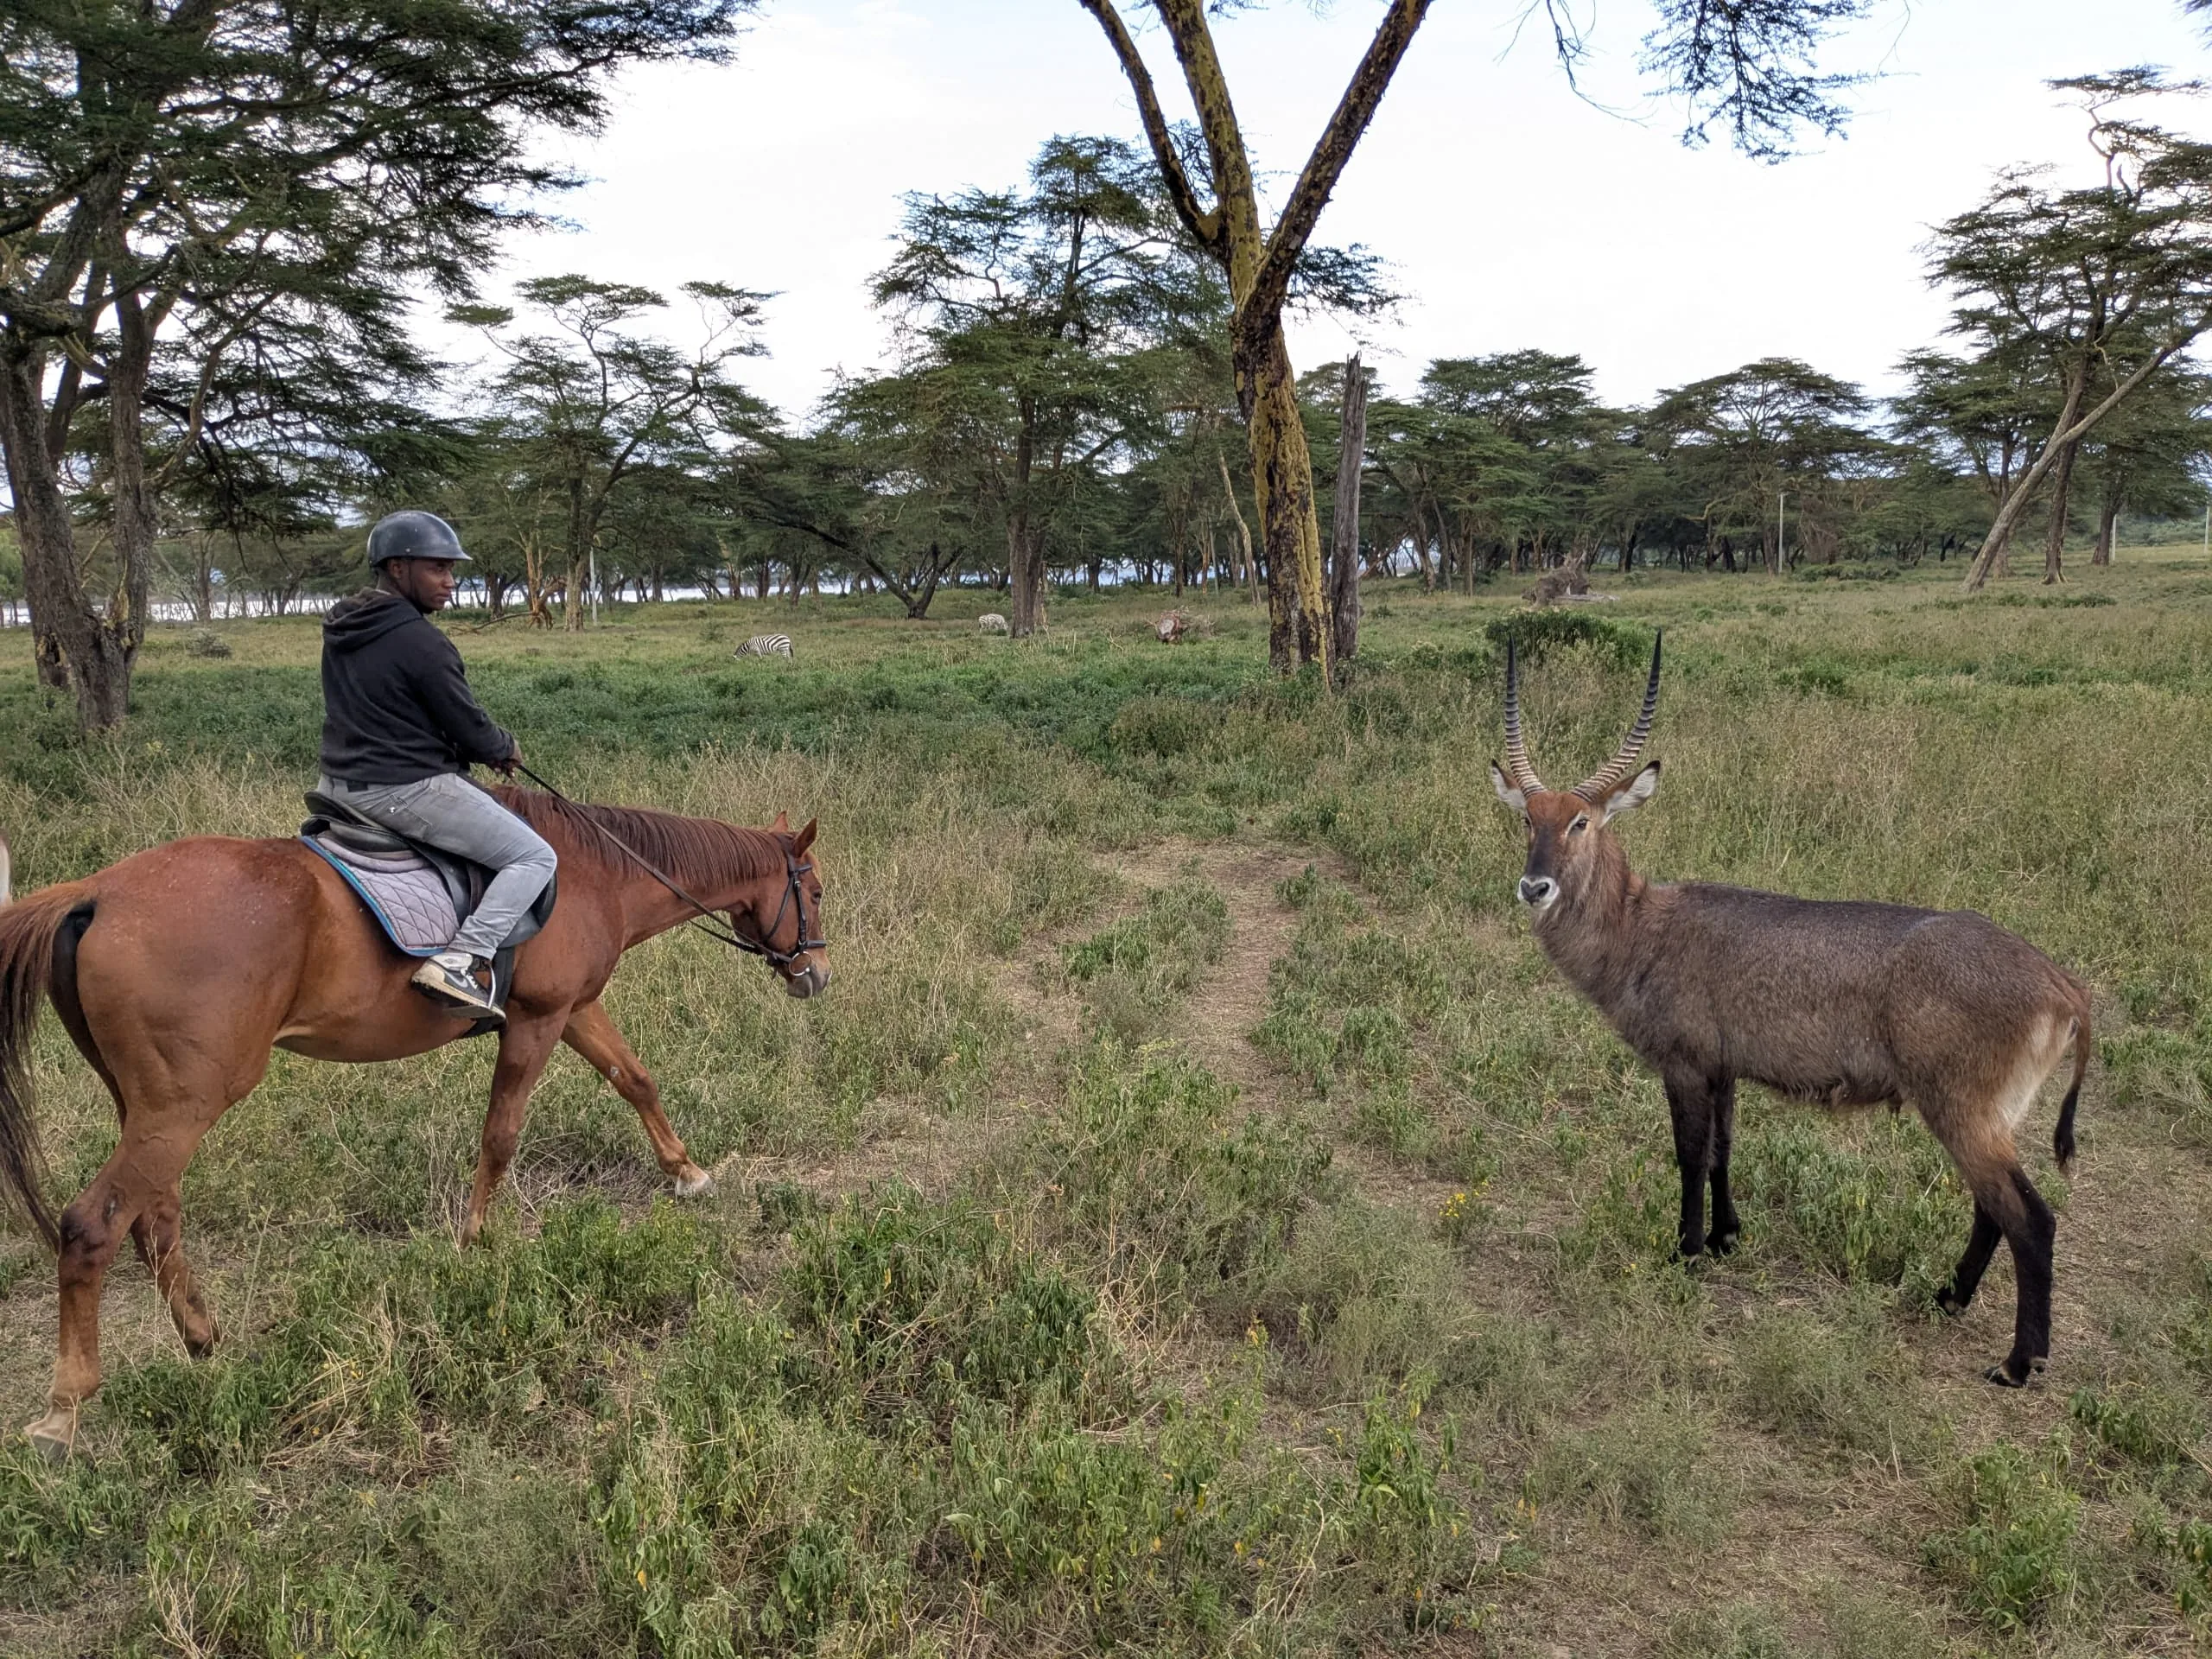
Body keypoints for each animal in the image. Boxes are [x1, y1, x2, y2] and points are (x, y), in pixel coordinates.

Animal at [0, 788, 828, 1459]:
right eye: (814, 889)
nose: (816, 974)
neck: (598, 872)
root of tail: (97, 895)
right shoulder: (538, 1019)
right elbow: (501, 1133)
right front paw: (474, 1242)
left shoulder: (575, 1009)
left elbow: (636, 1080)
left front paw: (687, 1172)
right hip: (183, 1106)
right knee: (94, 1226)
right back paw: (64, 1410)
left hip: (151, 1106)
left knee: (156, 1220)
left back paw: (204, 1341)